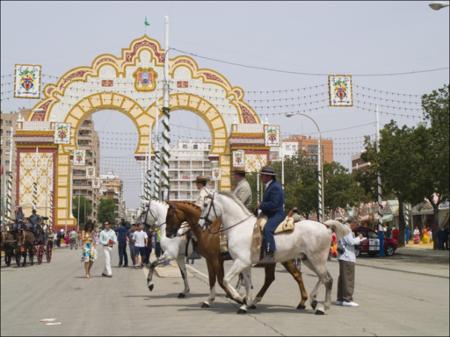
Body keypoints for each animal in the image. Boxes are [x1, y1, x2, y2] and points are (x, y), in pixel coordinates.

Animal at [165, 201, 310, 312]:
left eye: (170, 214)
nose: (167, 233)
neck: (208, 231)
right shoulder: (211, 260)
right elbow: (213, 279)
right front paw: (209, 300)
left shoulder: (215, 259)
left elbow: (220, 280)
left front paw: (239, 298)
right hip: (271, 261)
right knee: (270, 278)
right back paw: (255, 301)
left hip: (286, 259)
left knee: (296, 275)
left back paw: (302, 302)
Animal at [198, 192, 352, 316]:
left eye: (205, 205)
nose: (200, 224)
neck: (239, 228)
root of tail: (325, 226)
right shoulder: (244, 264)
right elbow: (246, 284)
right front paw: (245, 304)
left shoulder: (239, 262)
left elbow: (225, 280)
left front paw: (238, 297)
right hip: (308, 260)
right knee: (321, 278)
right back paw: (313, 300)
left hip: (316, 259)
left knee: (327, 280)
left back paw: (322, 308)